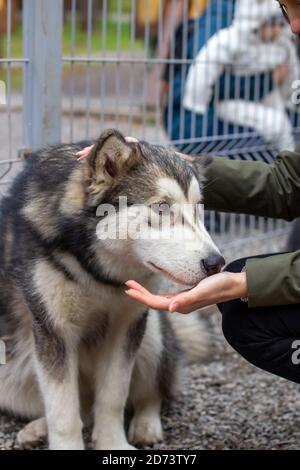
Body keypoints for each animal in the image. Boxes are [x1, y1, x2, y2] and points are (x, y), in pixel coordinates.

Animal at [0, 129, 223, 452]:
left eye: (198, 209)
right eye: (162, 207)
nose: (217, 263)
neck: (99, 273)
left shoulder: (127, 324)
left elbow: (113, 397)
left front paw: (113, 444)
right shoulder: (54, 330)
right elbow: (63, 412)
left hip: (152, 331)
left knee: (152, 392)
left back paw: (146, 423)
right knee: (79, 409)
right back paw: (37, 429)